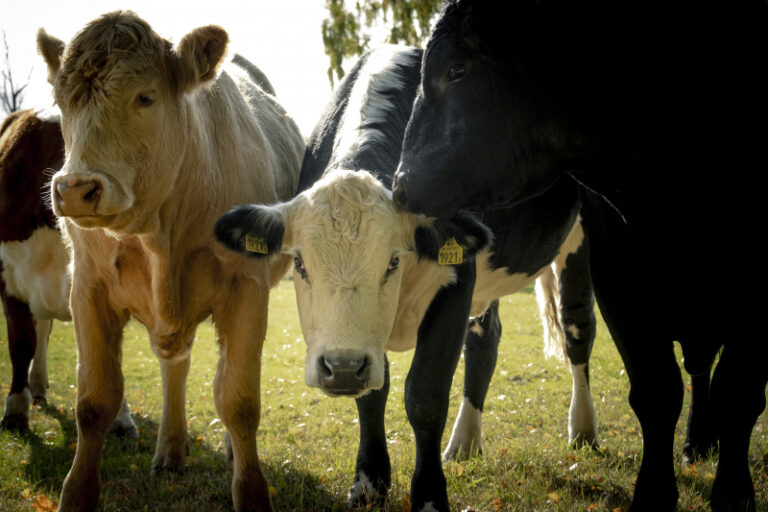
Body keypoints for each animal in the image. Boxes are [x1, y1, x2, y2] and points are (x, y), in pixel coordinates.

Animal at [36, 12, 304, 512]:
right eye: (62, 101)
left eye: (145, 97)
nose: (75, 189)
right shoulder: (87, 288)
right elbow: (94, 402)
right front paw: (77, 494)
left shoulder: (248, 288)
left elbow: (239, 400)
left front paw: (251, 491)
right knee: (174, 365)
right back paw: (171, 450)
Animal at [216, 45, 600, 512]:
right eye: (300, 264)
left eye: (393, 261)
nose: (340, 367)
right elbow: (372, 393)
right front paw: (369, 481)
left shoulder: (457, 284)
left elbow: (425, 396)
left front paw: (430, 496)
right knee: (485, 340)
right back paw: (465, 443)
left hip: (580, 240)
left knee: (577, 329)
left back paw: (583, 431)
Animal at [392, 2, 764, 510]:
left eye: (456, 70)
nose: (400, 184)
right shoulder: (620, 272)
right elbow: (656, 390)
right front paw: (653, 495)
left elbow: (738, 394)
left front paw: (732, 494)